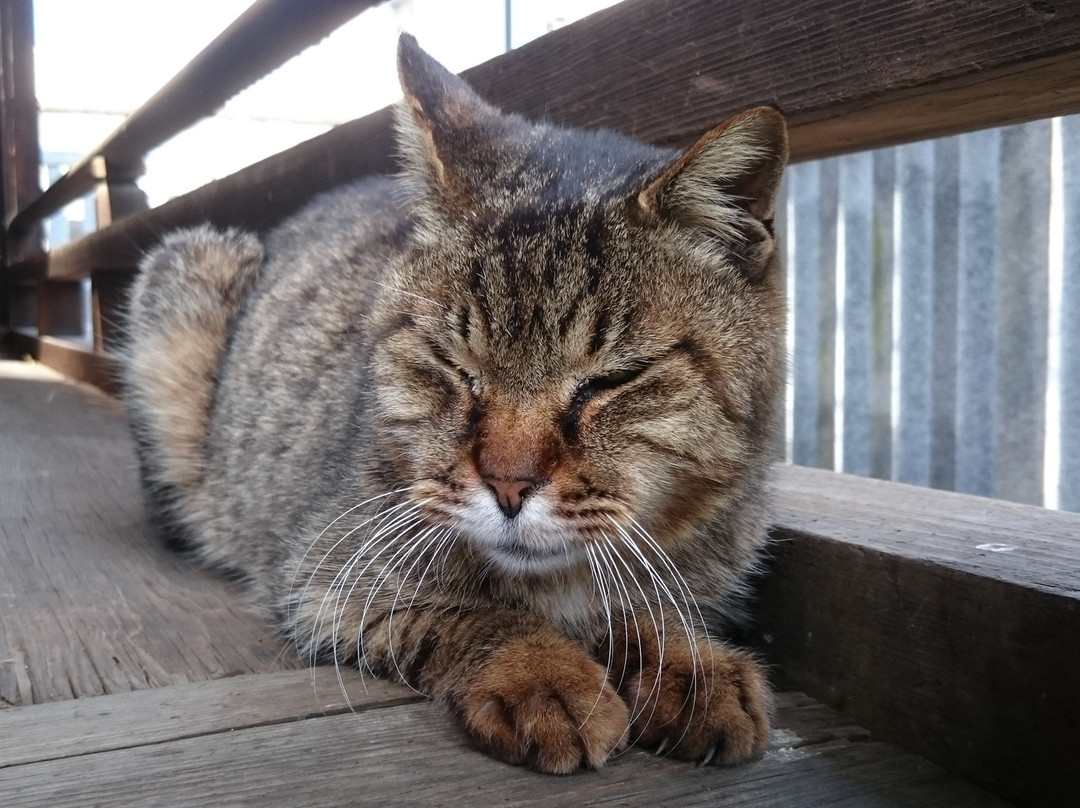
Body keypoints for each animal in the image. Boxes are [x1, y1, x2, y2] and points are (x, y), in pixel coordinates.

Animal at [124, 34, 786, 773]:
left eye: (613, 379)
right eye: (455, 365)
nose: (508, 485)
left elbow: (652, 606)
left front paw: (690, 663)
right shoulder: (329, 572)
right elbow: (466, 612)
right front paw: (543, 674)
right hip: (187, 278)